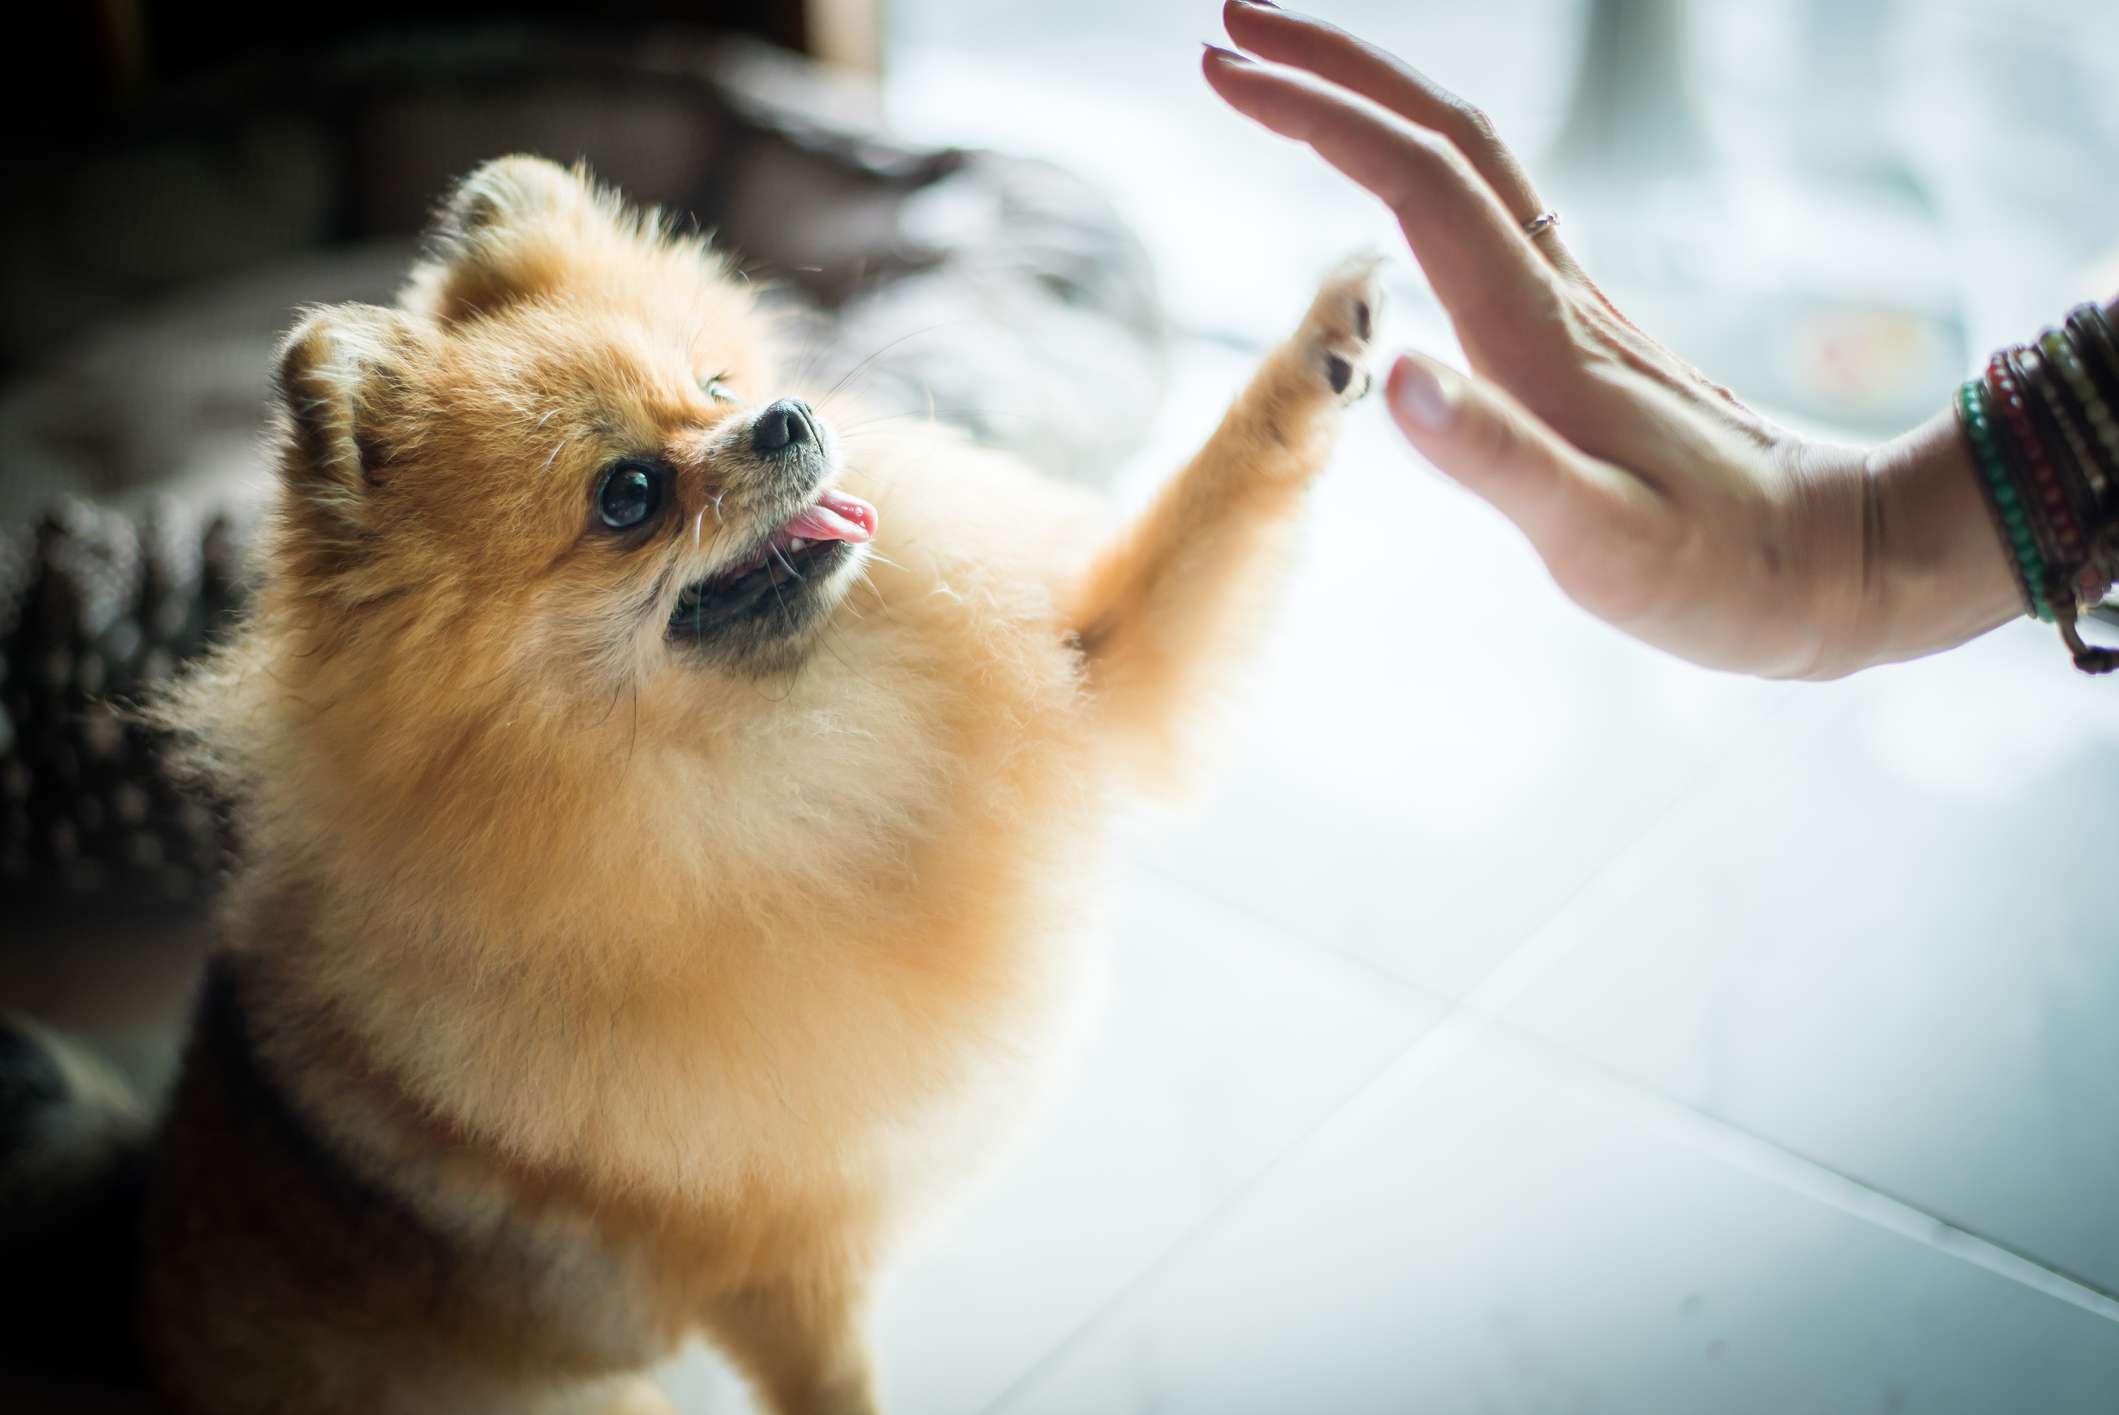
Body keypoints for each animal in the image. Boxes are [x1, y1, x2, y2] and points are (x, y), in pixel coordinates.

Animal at [107, 157, 1381, 1415]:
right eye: (628, 494)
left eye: (715, 384)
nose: (788, 414)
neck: (785, 758)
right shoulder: (785, 1264)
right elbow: (839, 1387)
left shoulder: (1087, 668)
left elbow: (1198, 524)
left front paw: (1326, 348)